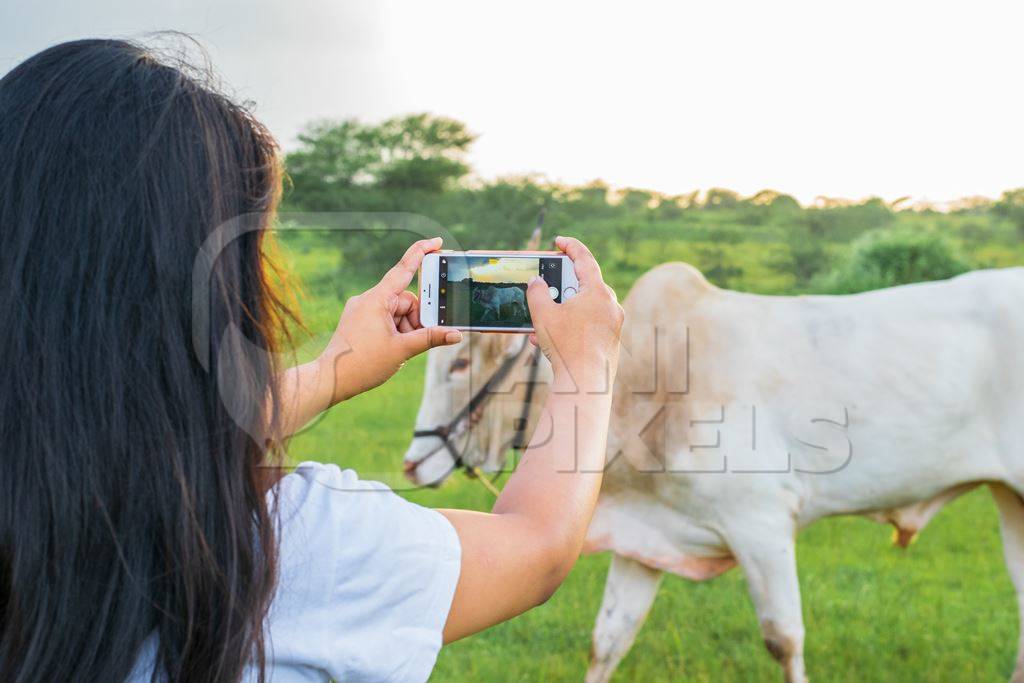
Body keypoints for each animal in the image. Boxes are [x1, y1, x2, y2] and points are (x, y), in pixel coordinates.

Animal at [399, 264, 1024, 683]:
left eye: (460, 363)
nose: (411, 462)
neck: (645, 381)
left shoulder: (761, 525)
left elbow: (783, 639)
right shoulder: (643, 539)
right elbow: (608, 640)